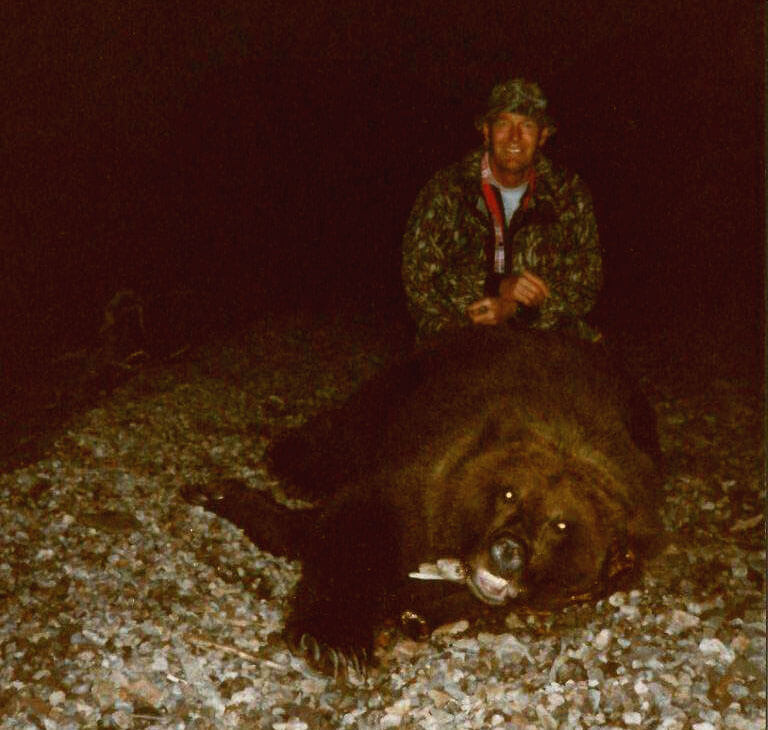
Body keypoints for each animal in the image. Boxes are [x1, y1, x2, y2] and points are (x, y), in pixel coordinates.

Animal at [183, 325, 662, 677]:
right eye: (508, 493)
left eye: (560, 525)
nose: (507, 551)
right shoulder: (424, 475)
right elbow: (349, 527)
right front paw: (333, 640)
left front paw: (412, 610)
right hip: (408, 382)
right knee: (351, 424)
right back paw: (293, 462)